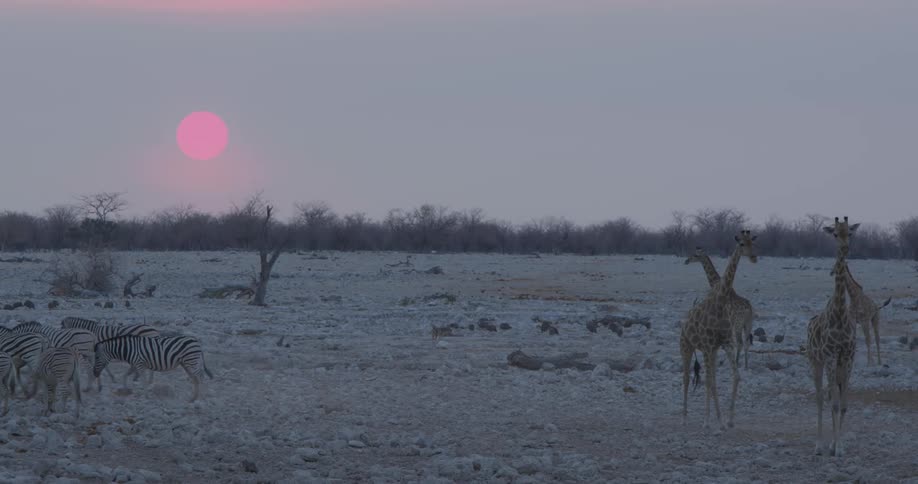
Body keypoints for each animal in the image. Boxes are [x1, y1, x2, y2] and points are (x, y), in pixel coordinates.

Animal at [680, 230, 757, 430]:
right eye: (741, 244)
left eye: (752, 243)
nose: (754, 257)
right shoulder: (710, 346)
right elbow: (710, 381)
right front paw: (710, 420)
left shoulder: (721, 344)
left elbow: (731, 378)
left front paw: (723, 420)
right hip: (686, 346)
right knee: (686, 377)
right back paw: (684, 417)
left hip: (735, 332)